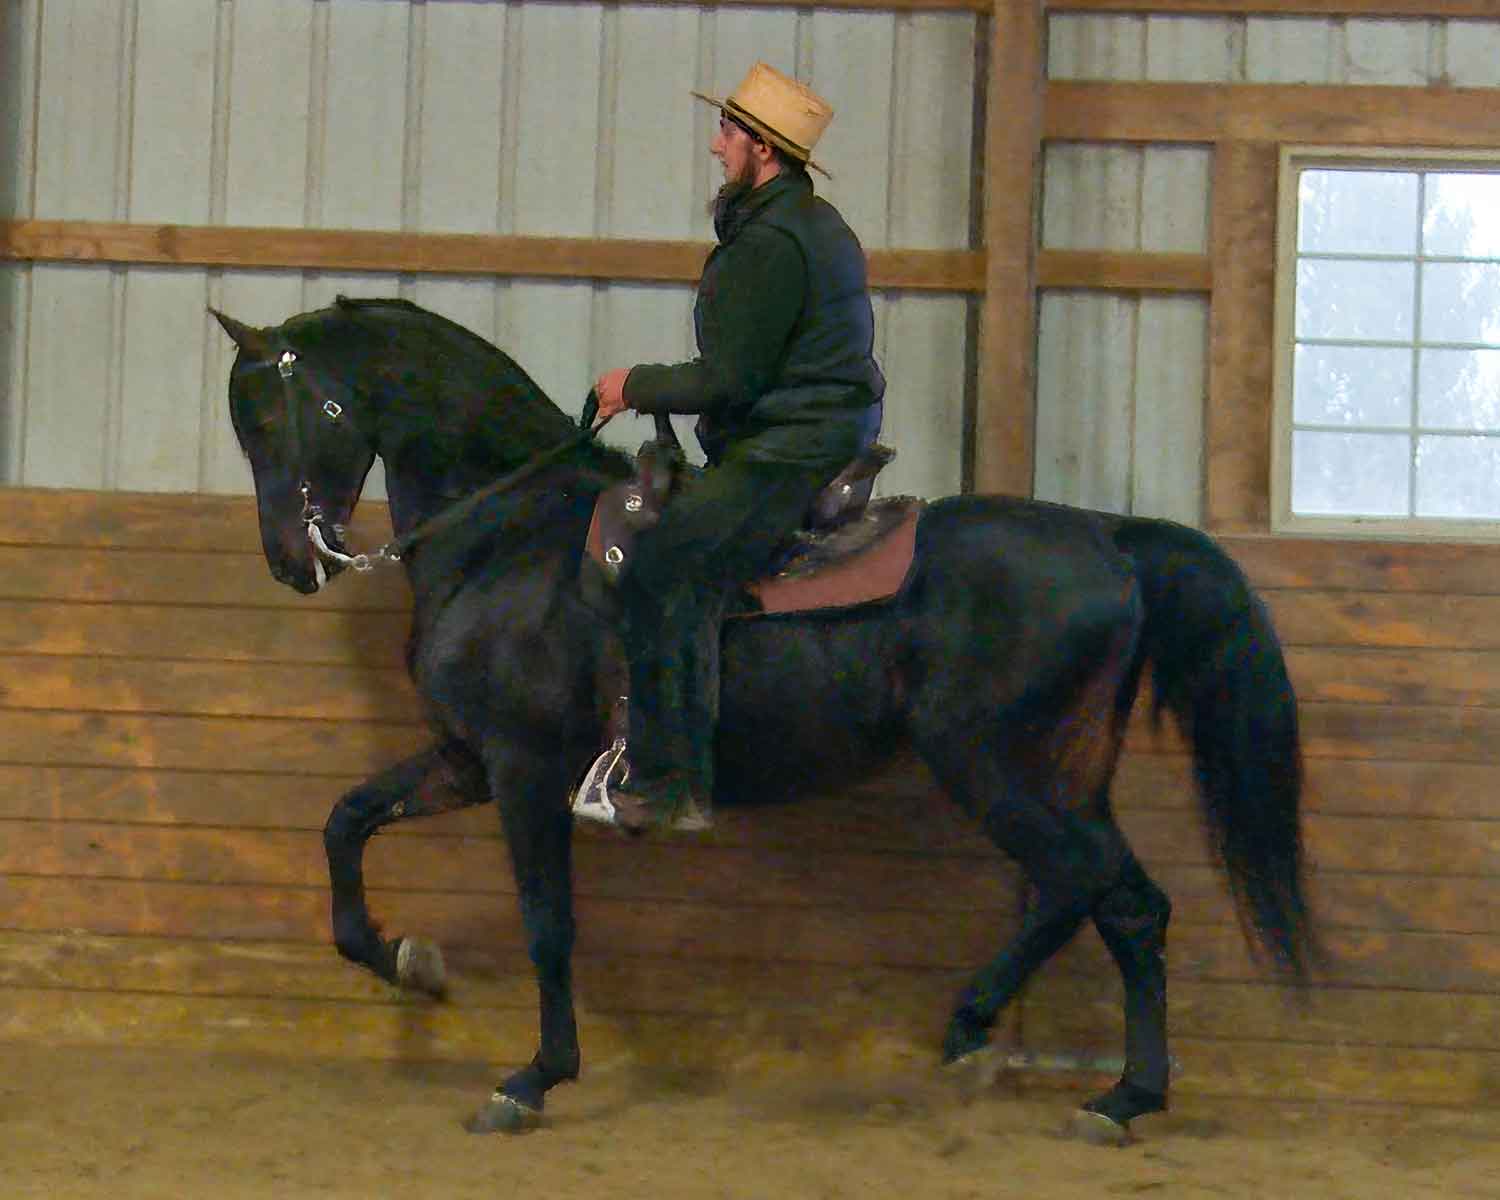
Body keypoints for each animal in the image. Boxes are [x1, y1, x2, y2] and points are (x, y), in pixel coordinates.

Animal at [213, 295, 1313, 1141]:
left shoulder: (523, 769)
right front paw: (410, 963)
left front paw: (532, 1079)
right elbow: (346, 823)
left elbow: (547, 926)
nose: (290, 561)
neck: (507, 536)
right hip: (1064, 772)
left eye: (276, 418)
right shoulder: (465, 759)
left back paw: (1040, 1062)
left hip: (995, 767)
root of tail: (1110, 538)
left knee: (1094, 889)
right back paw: (1071, 1075)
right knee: (1109, 901)